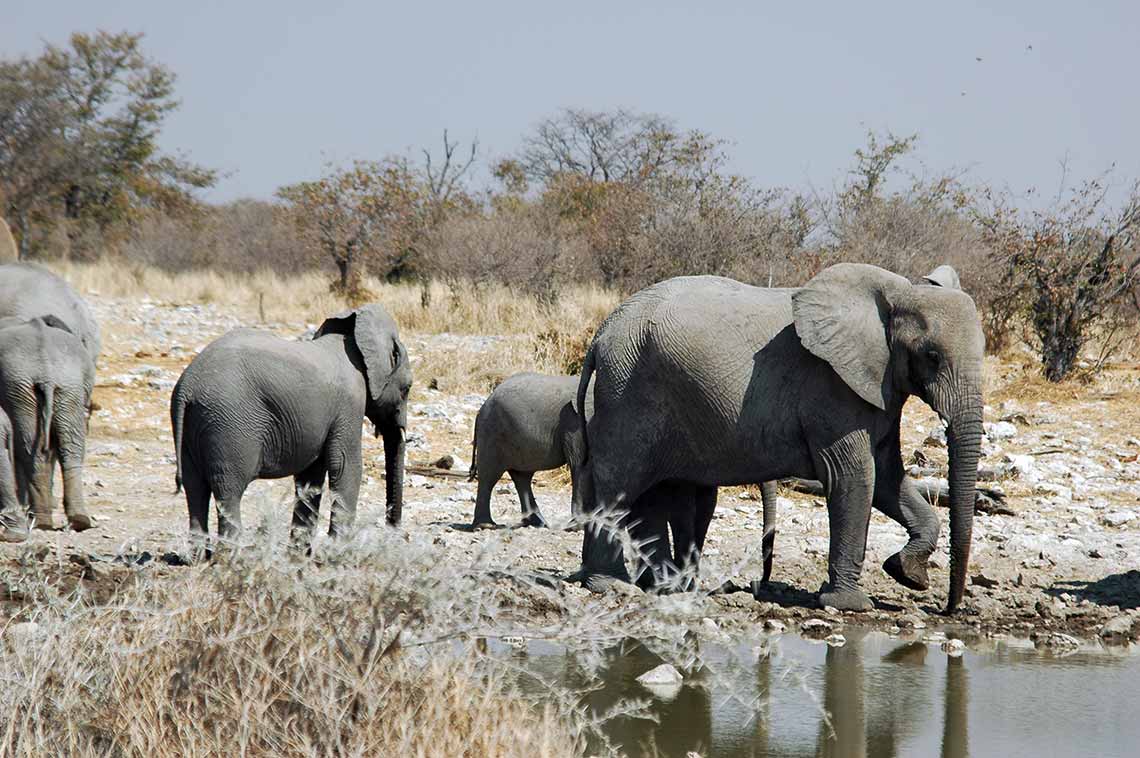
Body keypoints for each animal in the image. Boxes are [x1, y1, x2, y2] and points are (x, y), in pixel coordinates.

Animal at [0, 312, 95, 531]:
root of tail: (47, 371)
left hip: (19, 387)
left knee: (29, 449)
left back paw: (40, 520)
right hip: (68, 387)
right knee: (71, 447)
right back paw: (79, 520)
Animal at [171, 303, 412, 556]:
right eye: (407, 388)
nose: (396, 535)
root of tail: (187, 387)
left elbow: (310, 476)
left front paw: (298, 556)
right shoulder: (349, 403)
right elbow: (346, 466)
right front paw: (335, 555)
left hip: (194, 427)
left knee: (195, 489)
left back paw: (200, 558)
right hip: (228, 425)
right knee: (228, 490)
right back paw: (232, 557)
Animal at [471, 371, 597, 526]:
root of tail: (482, 407)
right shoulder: (575, 423)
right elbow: (580, 464)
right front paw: (580, 524)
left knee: (522, 477)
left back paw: (538, 523)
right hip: (492, 433)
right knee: (489, 477)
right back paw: (485, 525)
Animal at [574, 263, 984, 610]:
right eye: (931, 356)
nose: (947, 608)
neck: (898, 293)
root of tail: (602, 331)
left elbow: (887, 478)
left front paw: (906, 573)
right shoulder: (831, 387)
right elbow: (854, 477)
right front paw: (851, 604)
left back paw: (661, 586)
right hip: (629, 389)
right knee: (619, 485)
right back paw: (610, 585)